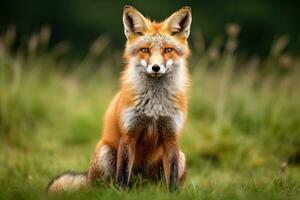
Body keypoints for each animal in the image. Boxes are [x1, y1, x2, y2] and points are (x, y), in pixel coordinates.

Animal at [47, 5, 192, 192]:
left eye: (168, 50)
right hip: (105, 153)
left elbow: (172, 178)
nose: (156, 67)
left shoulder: (171, 136)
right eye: (145, 50)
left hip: (181, 157)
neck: (154, 106)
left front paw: (173, 194)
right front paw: (121, 193)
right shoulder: (128, 134)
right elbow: (122, 172)